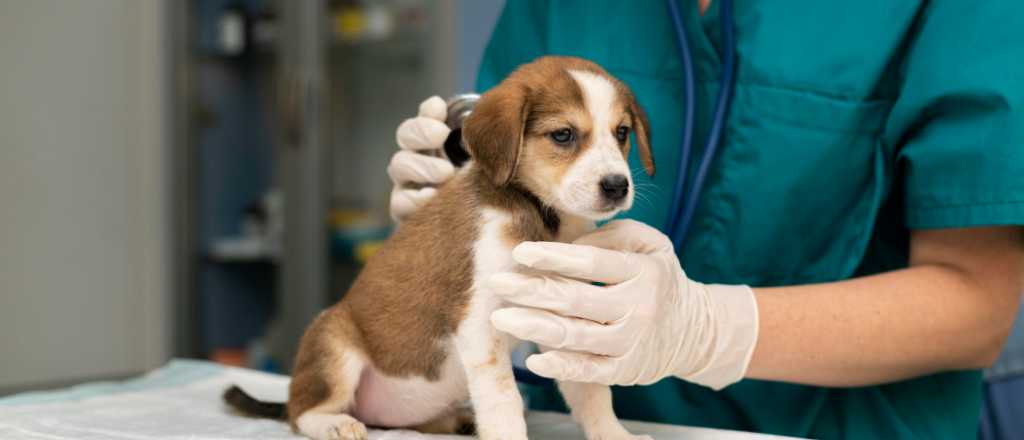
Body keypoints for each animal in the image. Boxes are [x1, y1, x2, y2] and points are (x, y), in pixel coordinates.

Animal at [226, 55, 655, 440]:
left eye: (621, 133)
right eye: (563, 135)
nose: (617, 185)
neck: (541, 215)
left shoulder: (564, 320)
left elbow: (592, 393)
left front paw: (614, 434)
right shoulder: (479, 323)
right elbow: (505, 402)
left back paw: (457, 421)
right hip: (333, 343)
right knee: (301, 412)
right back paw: (335, 424)